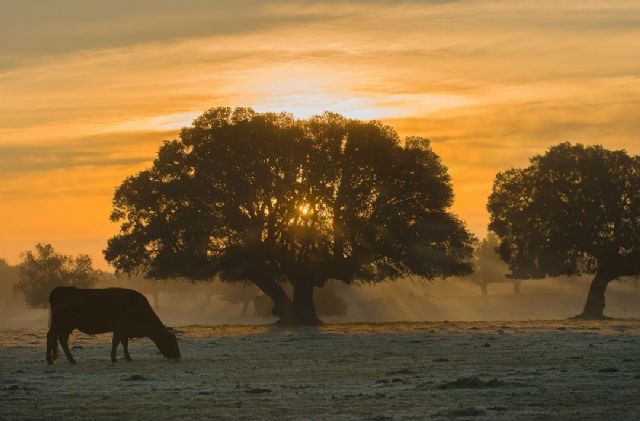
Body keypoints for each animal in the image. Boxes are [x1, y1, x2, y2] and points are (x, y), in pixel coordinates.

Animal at [47, 288, 180, 362]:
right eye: (171, 341)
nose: (178, 355)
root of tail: (58, 290)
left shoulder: (122, 331)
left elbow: (122, 343)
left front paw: (125, 358)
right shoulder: (120, 329)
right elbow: (117, 343)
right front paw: (118, 358)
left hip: (66, 326)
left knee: (62, 340)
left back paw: (70, 360)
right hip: (60, 324)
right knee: (51, 337)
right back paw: (51, 360)